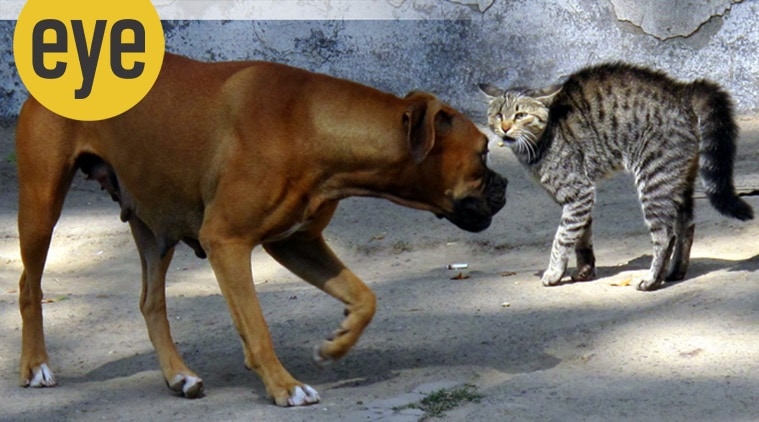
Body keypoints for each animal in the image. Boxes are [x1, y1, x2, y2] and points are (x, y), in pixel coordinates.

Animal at [14, 52, 508, 406]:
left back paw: (179, 375)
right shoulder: (226, 242)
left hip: (154, 225)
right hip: (41, 204)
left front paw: (337, 345)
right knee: (28, 286)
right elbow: (256, 325)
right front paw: (285, 387)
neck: (314, 125)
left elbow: (364, 296)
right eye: (483, 153)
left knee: (151, 302)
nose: (504, 185)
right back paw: (35, 367)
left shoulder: (298, 243)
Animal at [480, 62, 756, 292]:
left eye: (520, 115)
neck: (541, 141)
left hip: (654, 181)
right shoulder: (580, 199)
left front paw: (554, 272)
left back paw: (652, 280)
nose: (505, 128)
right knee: (686, 225)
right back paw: (675, 272)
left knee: (665, 235)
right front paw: (585, 271)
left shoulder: (578, 192)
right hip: (679, 181)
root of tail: (682, 89)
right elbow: (582, 237)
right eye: (498, 115)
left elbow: (563, 237)